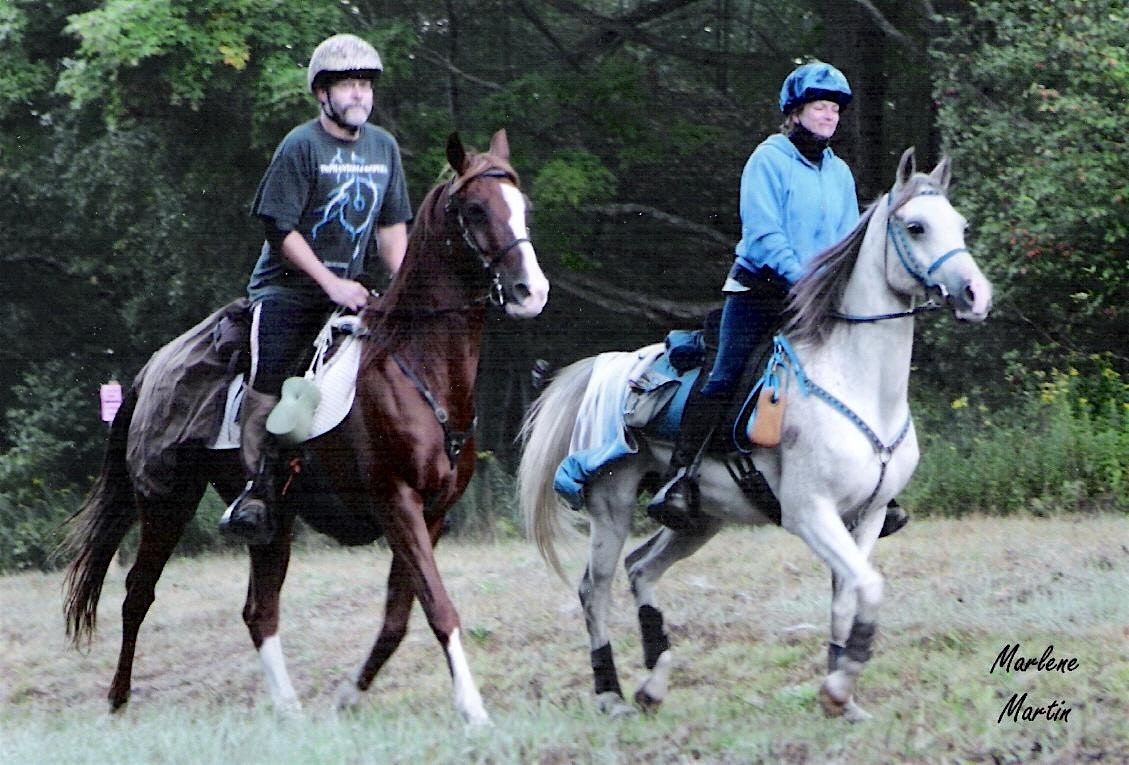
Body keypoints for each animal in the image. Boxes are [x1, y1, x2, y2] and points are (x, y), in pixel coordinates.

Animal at [64, 132, 548, 726]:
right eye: (476, 209)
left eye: (523, 207)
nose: (531, 291)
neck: (416, 365)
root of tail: (151, 368)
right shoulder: (397, 502)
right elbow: (438, 607)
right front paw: (474, 710)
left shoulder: (430, 515)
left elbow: (398, 618)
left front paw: (347, 696)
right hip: (166, 501)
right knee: (138, 594)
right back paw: (118, 699)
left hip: (272, 521)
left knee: (259, 610)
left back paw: (289, 708)